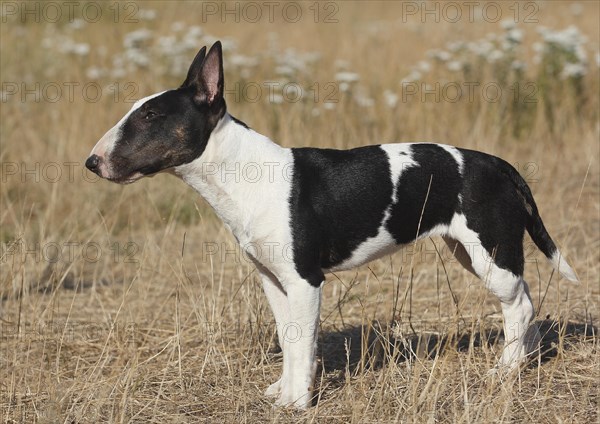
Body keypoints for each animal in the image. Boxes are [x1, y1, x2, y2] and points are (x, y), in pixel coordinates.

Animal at [84, 41, 576, 410]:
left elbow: (303, 341)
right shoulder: (273, 280)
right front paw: (283, 391)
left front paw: (298, 402)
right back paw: (523, 361)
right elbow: (288, 338)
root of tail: (501, 165)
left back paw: (505, 371)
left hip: (491, 253)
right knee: (525, 301)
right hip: (472, 253)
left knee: (519, 306)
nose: (92, 162)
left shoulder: (305, 281)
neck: (242, 173)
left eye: (150, 116)